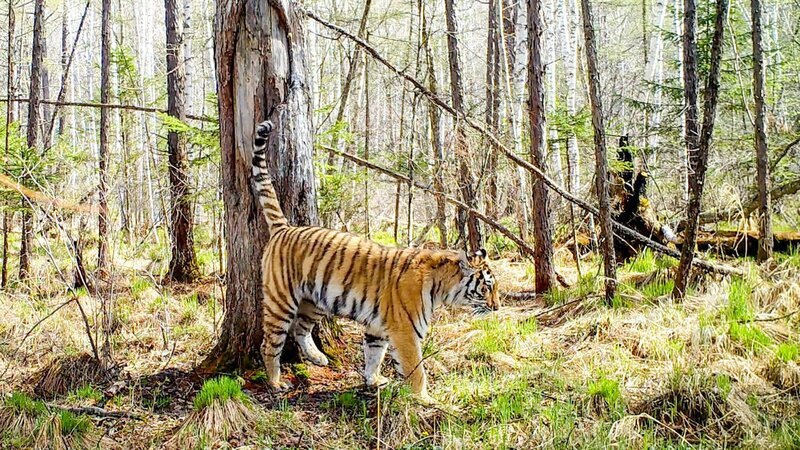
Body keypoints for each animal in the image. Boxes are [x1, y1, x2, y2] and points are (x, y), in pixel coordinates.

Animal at [251, 119, 499, 402]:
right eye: (487, 286)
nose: (497, 307)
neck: (440, 287)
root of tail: (285, 228)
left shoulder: (379, 327)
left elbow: (374, 354)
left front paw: (373, 380)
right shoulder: (405, 331)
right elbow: (416, 370)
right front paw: (425, 399)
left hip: (316, 300)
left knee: (300, 329)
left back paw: (318, 358)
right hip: (281, 301)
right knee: (271, 342)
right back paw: (276, 382)